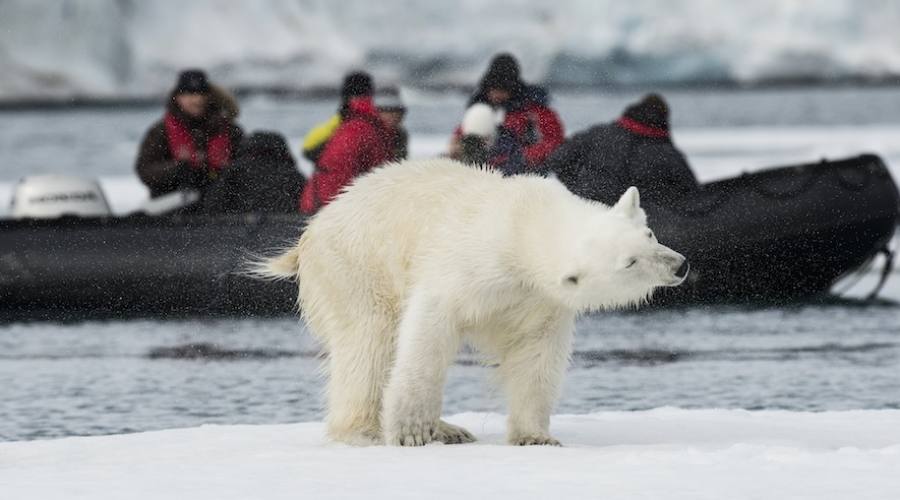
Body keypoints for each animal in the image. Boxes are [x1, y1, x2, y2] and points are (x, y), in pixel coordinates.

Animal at [256, 159, 684, 446]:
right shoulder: (466, 266)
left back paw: (450, 429)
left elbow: (537, 357)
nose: (679, 265)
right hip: (356, 267)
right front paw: (411, 431)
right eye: (629, 262)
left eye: (648, 234)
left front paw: (536, 437)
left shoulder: (537, 299)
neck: (521, 225)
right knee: (369, 342)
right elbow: (427, 334)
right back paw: (367, 430)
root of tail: (311, 230)